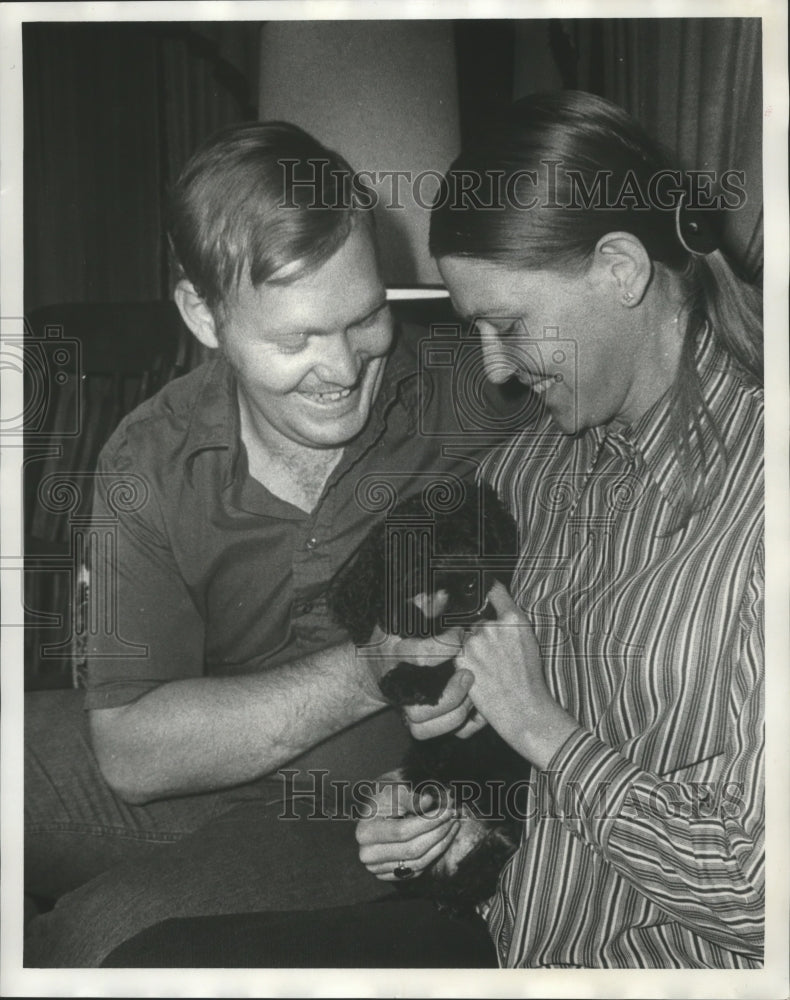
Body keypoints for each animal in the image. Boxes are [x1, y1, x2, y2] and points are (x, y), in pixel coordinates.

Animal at [328, 484, 532, 916]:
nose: (468, 582)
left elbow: (453, 659)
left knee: (491, 856)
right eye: (421, 559)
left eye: (474, 539)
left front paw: (409, 677)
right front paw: (402, 619)